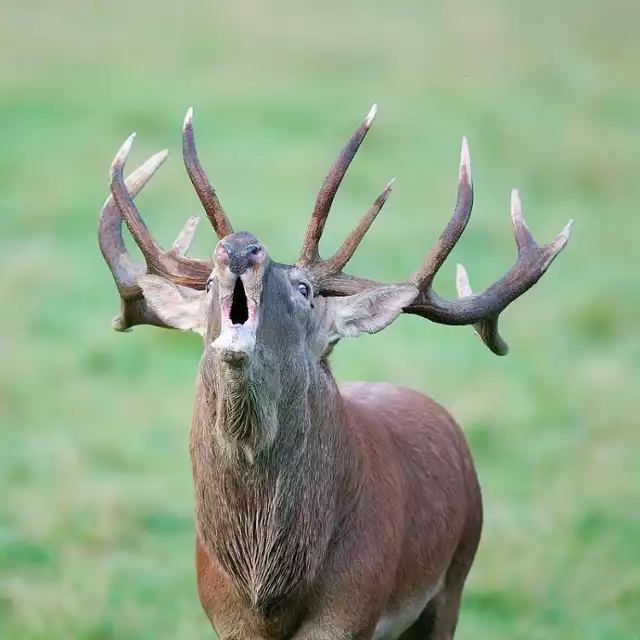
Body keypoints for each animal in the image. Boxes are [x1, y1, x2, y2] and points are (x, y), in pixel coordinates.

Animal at [99, 107, 568, 636]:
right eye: (207, 290)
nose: (240, 247)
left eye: (304, 289)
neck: (264, 582)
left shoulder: (352, 605)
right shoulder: (222, 612)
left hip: (457, 571)